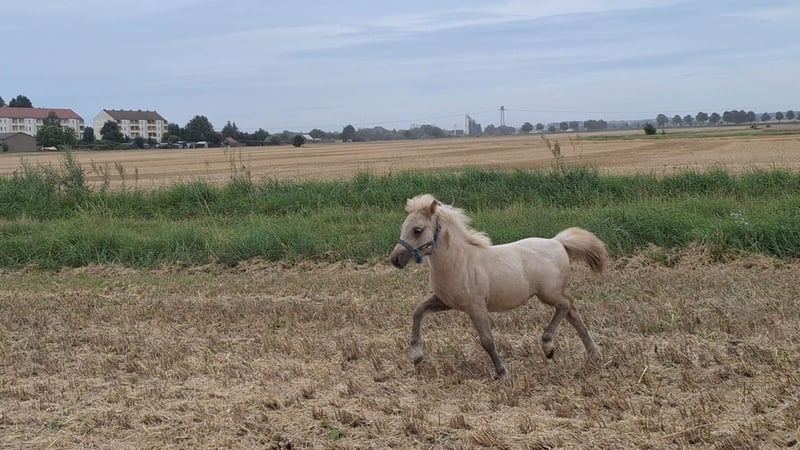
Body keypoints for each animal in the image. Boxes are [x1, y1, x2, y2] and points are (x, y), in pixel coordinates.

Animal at [389, 194, 608, 379]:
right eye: (403, 227)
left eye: (417, 230)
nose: (395, 259)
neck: (460, 263)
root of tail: (558, 242)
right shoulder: (445, 302)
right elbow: (418, 311)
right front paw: (417, 356)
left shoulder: (476, 307)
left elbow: (486, 340)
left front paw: (502, 373)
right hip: (553, 294)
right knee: (572, 313)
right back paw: (593, 353)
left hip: (549, 293)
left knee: (566, 305)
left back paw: (548, 347)